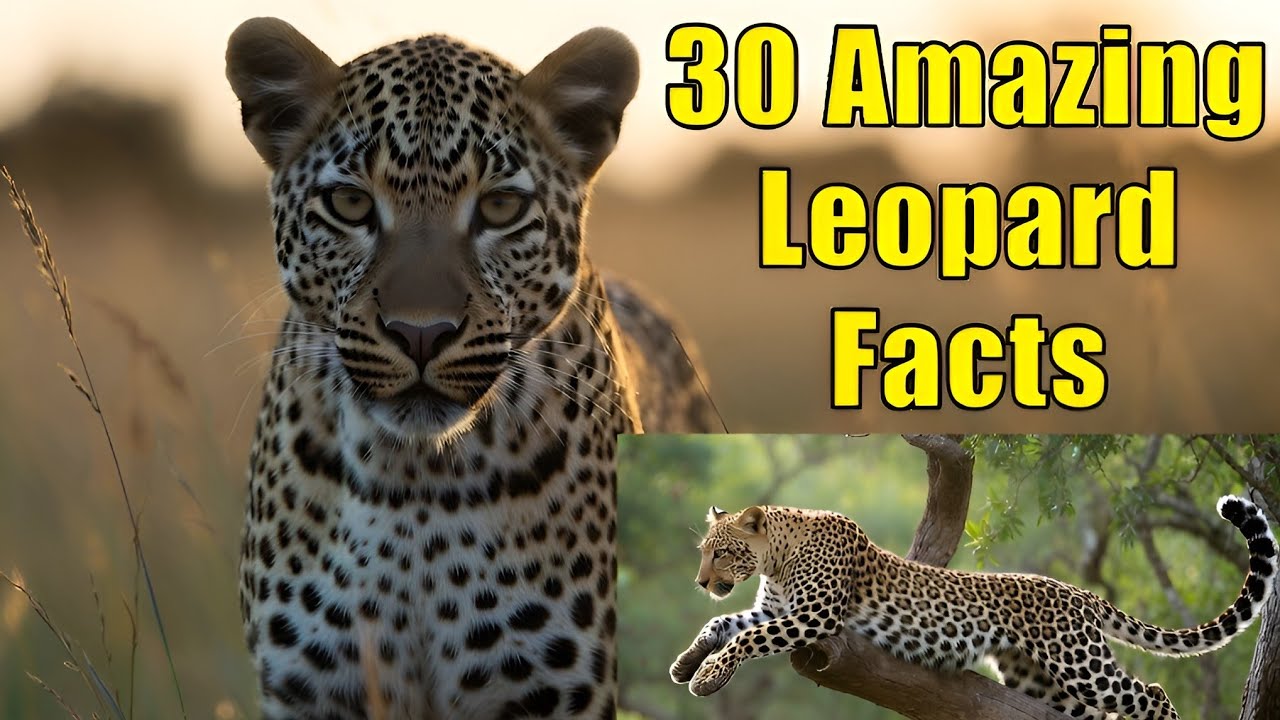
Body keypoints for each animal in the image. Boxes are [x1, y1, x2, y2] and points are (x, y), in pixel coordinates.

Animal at [224, 17, 716, 719]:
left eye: (501, 209)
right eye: (349, 204)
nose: (420, 333)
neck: (415, 485)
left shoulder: (554, 692)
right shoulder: (313, 690)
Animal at [670, 497, 1276, 720]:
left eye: (721, 552)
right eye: (704, 552)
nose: (700, 581)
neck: (776, 558)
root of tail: (1080, 593)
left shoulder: (815, 617)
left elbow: (746, 637)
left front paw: (706, 677)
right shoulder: (779, 610)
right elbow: (725, 622)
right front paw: (687, 662)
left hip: (1081, 663)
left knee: (1149, 693)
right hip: (1040, 681)